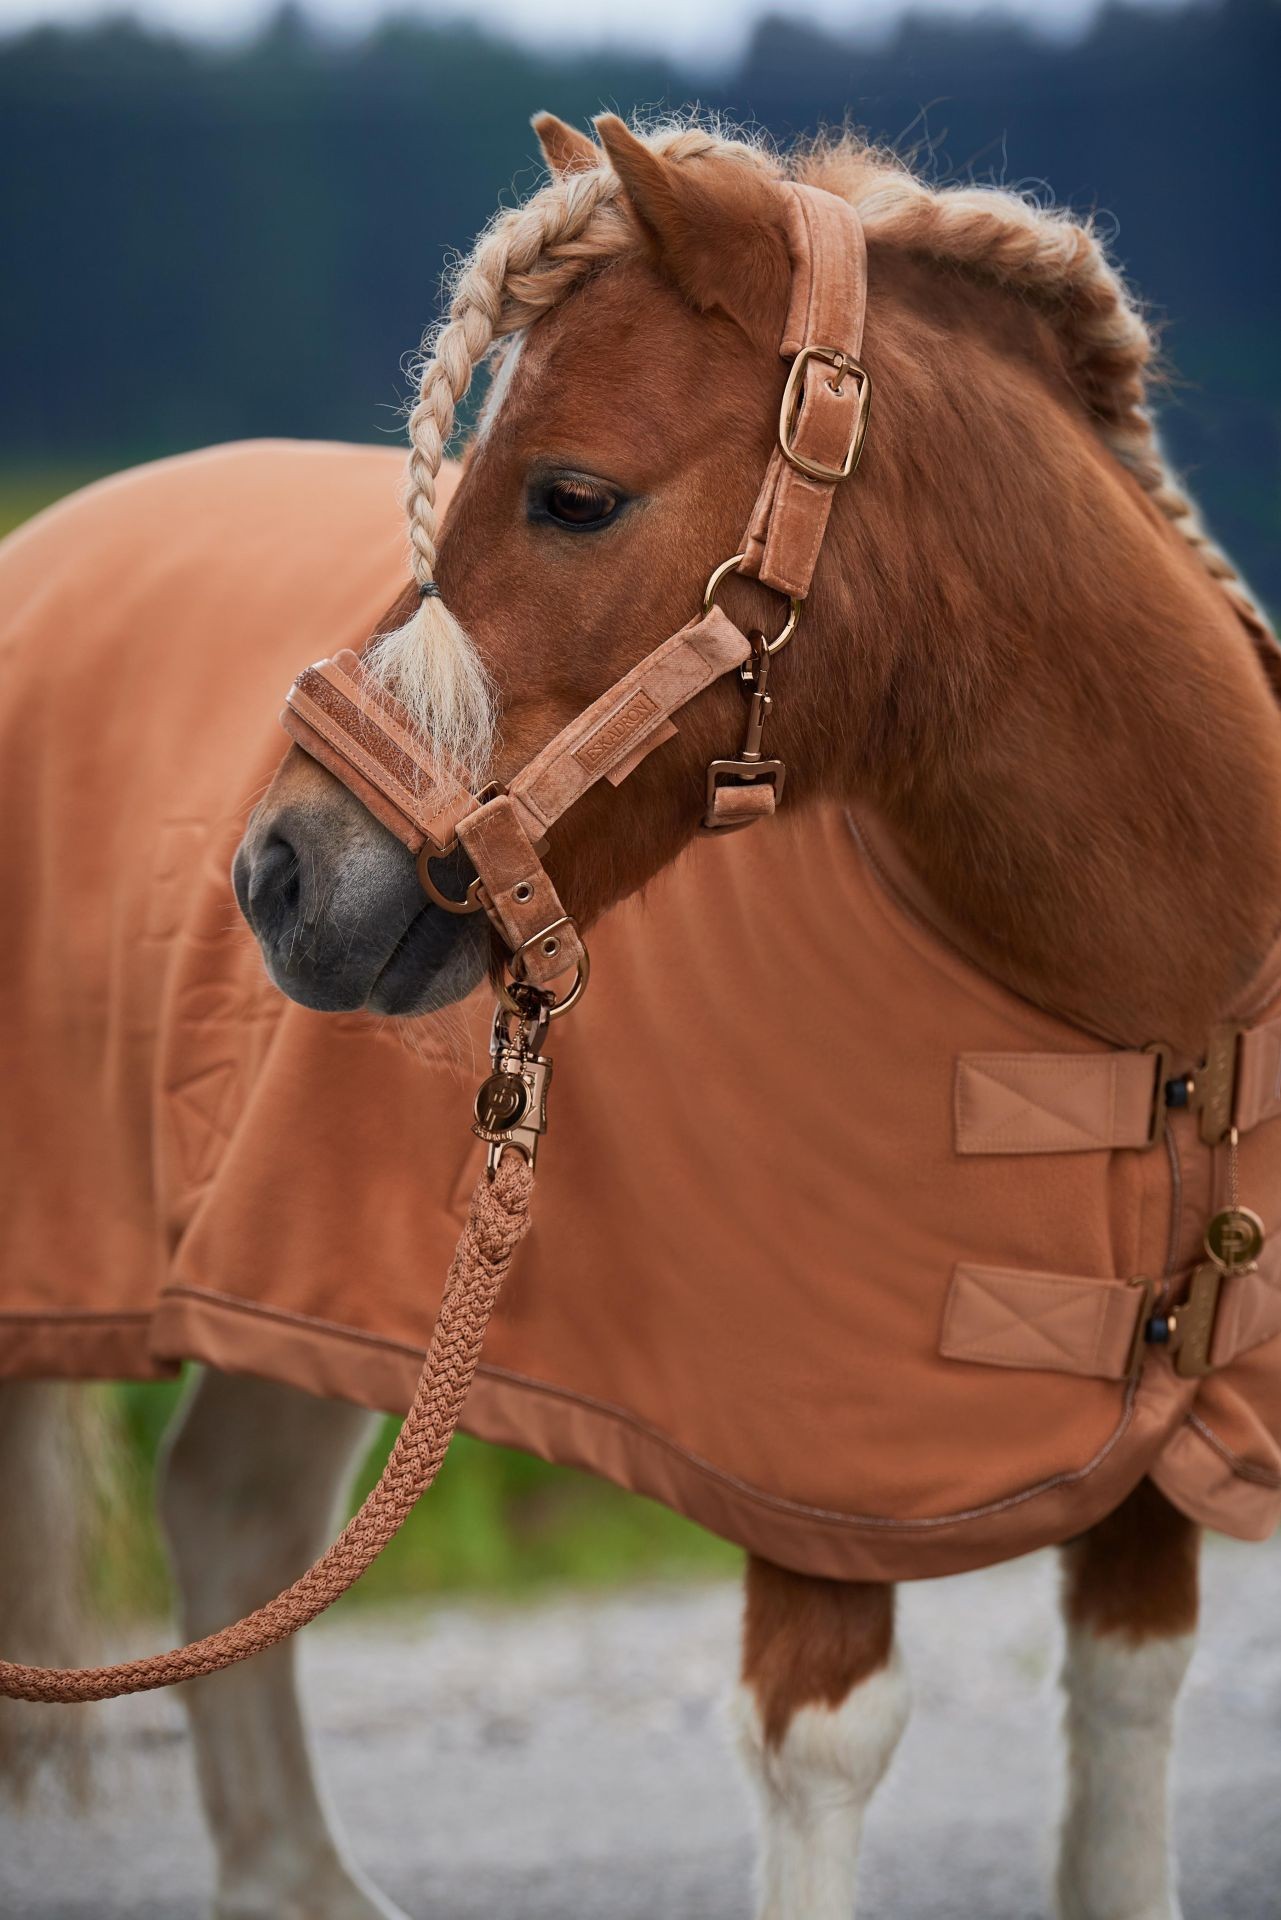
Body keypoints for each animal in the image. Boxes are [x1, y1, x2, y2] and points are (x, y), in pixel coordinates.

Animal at [3, 111, 1280, 1920]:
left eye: (572, 495)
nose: (279, 873)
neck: (1131, 999)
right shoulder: (817, 1477)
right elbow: (826, 1748)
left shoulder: (1159, 1455)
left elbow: (1125, 1712)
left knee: (233, 1515)